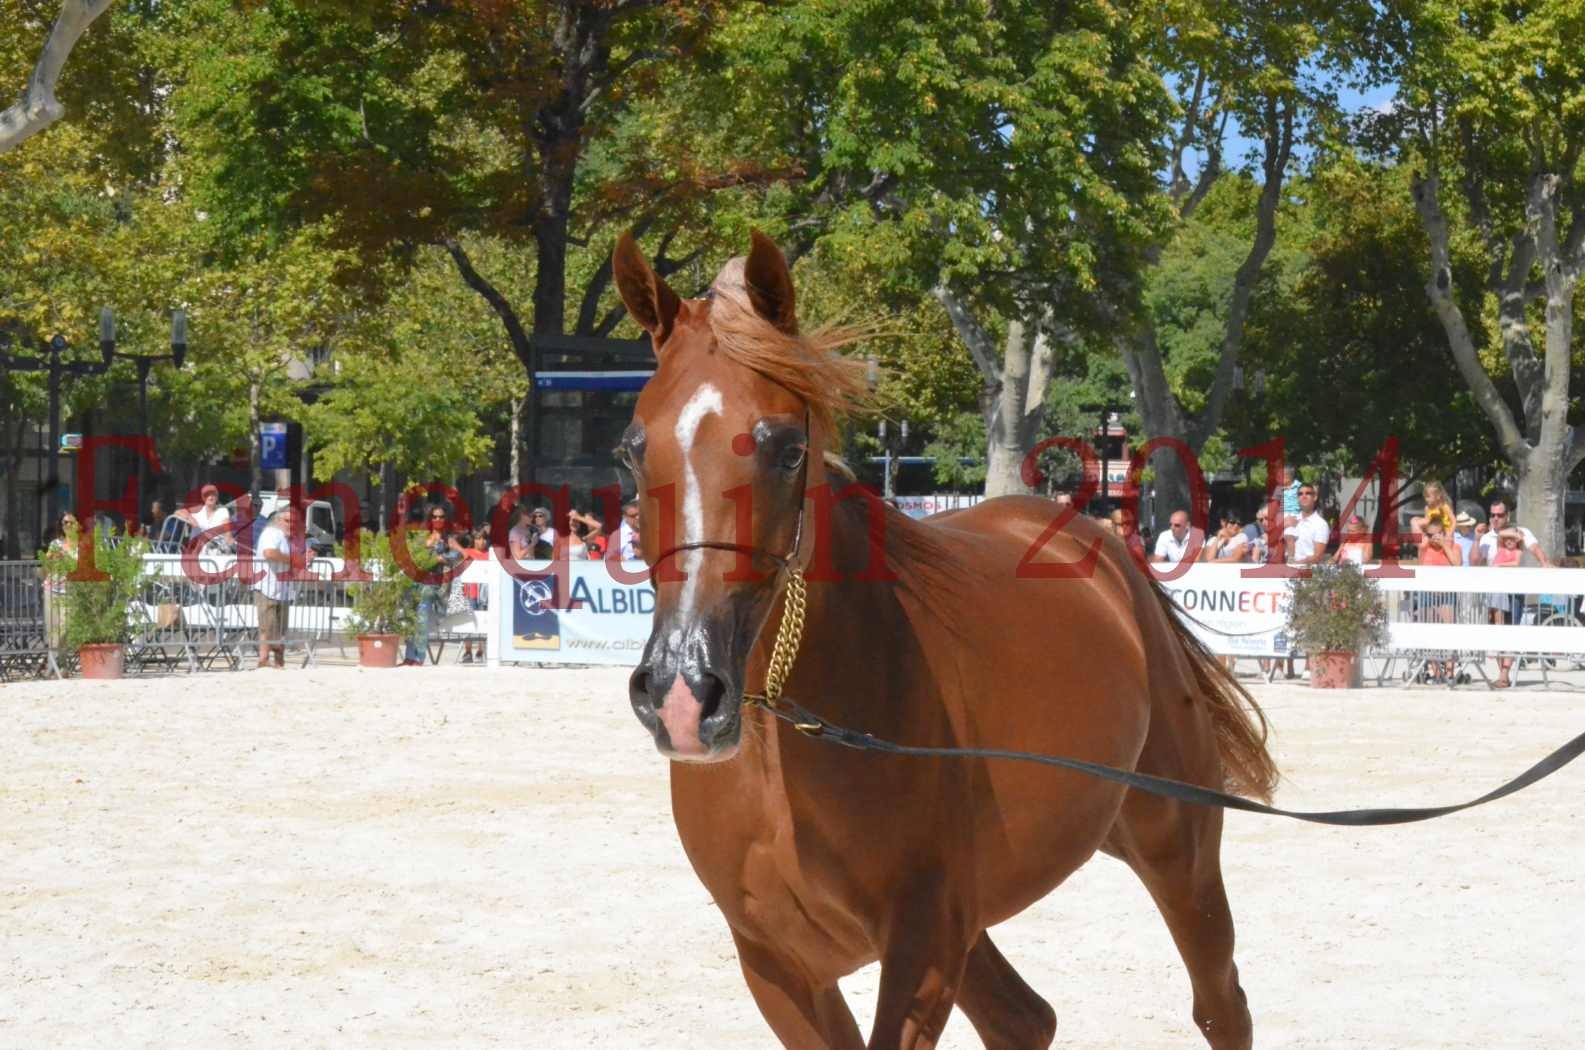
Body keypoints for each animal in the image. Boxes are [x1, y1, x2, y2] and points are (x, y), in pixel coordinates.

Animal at [611, 233, 1280, 1050]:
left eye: (787, 448)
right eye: (631, 450)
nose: (683, 693)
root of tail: (1095, 539)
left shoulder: (922, 945)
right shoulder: (778, 965)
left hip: (1175, 847)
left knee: (1220, 1005)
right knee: (1024, 1018)